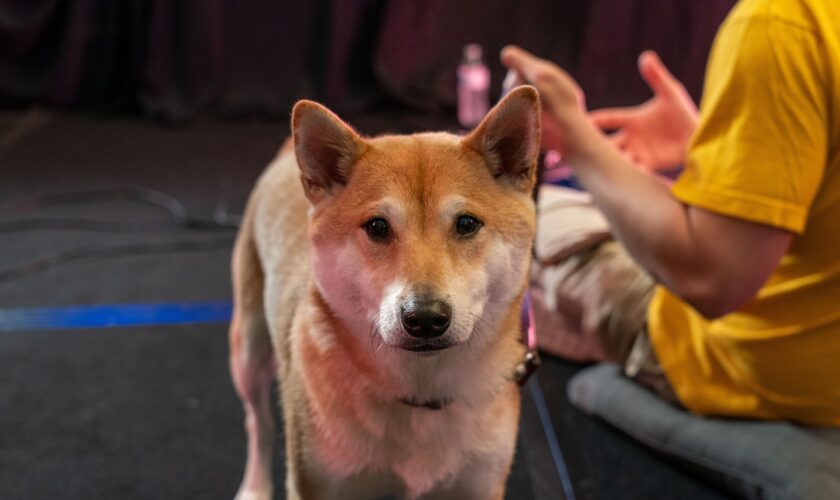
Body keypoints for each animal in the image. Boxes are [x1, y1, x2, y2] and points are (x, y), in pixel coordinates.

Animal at [230, 87, 540, 500]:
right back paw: (255, 485)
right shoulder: (315, 482)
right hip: (248, 351)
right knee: (258, 423)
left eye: (467, 223)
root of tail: (282, 158)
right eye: (378, 227)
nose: (425, 317)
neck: (420, 395)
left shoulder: (481, 484)